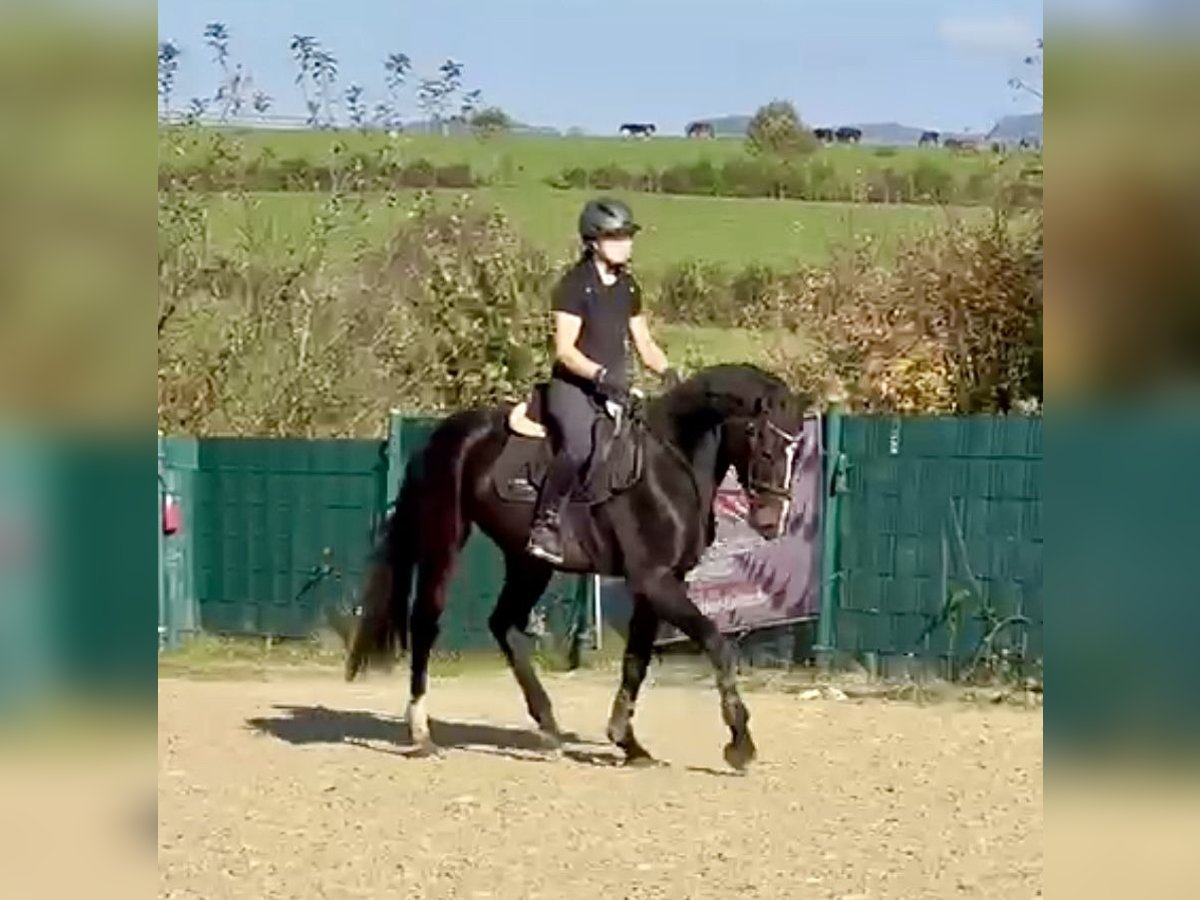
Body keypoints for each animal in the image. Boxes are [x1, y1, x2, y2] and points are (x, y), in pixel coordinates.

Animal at [348, 367, 816, 777]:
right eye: (758, 436)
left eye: (797, 449)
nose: (772, 520)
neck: (670, 465)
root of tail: (445, 434)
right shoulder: (655, 581)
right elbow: (716, 643)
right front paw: (740, 744)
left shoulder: (659, 584)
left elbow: (636, 660)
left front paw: (627, 741)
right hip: (445, 541)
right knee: (427, 621)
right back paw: (421, 732)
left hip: (529, 562)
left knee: (503, 624)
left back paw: (548, 725)